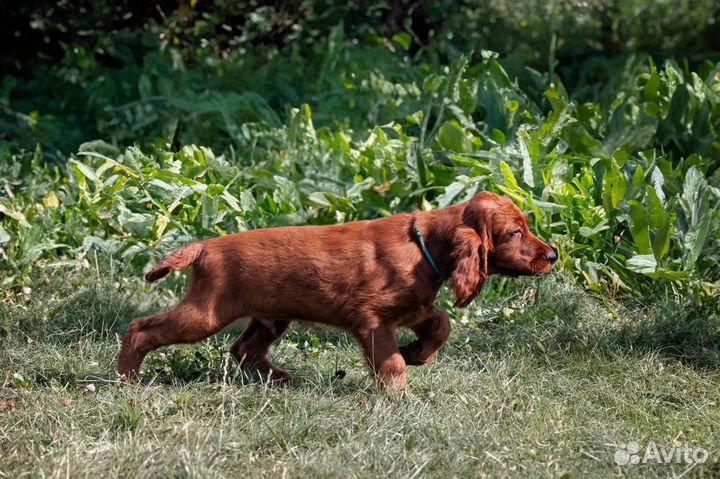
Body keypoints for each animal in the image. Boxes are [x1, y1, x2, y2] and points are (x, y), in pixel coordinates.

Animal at [118, 191, 556, 390]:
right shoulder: (372, 319)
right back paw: (126, 377)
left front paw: (417, 353)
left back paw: (281, 379)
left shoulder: (413, 307)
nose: (553, 255)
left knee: (243, 349)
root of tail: (205, 246)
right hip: (205, 314)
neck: (423, 245)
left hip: (272, 316)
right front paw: (401, 396)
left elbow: (441, 325)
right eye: (515, 233)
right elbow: (390, 362)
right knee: (140, 327)